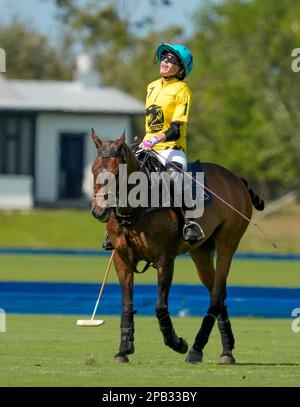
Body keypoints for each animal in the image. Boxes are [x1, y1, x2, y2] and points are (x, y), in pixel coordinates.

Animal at [90, 129, 264, 364]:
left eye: (117, 173)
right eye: (93, 170)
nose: (98, 212)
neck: (135, 207)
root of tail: (236, 179)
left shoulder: (165, 258)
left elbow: (160, 306)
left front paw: (177, 343)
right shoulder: (121, 257)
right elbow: (126, 304)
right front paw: (123, 349)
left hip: (228, 243)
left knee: (216, 295)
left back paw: (196, 349)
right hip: (200, 251)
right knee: (219, 294)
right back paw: (226, 351)